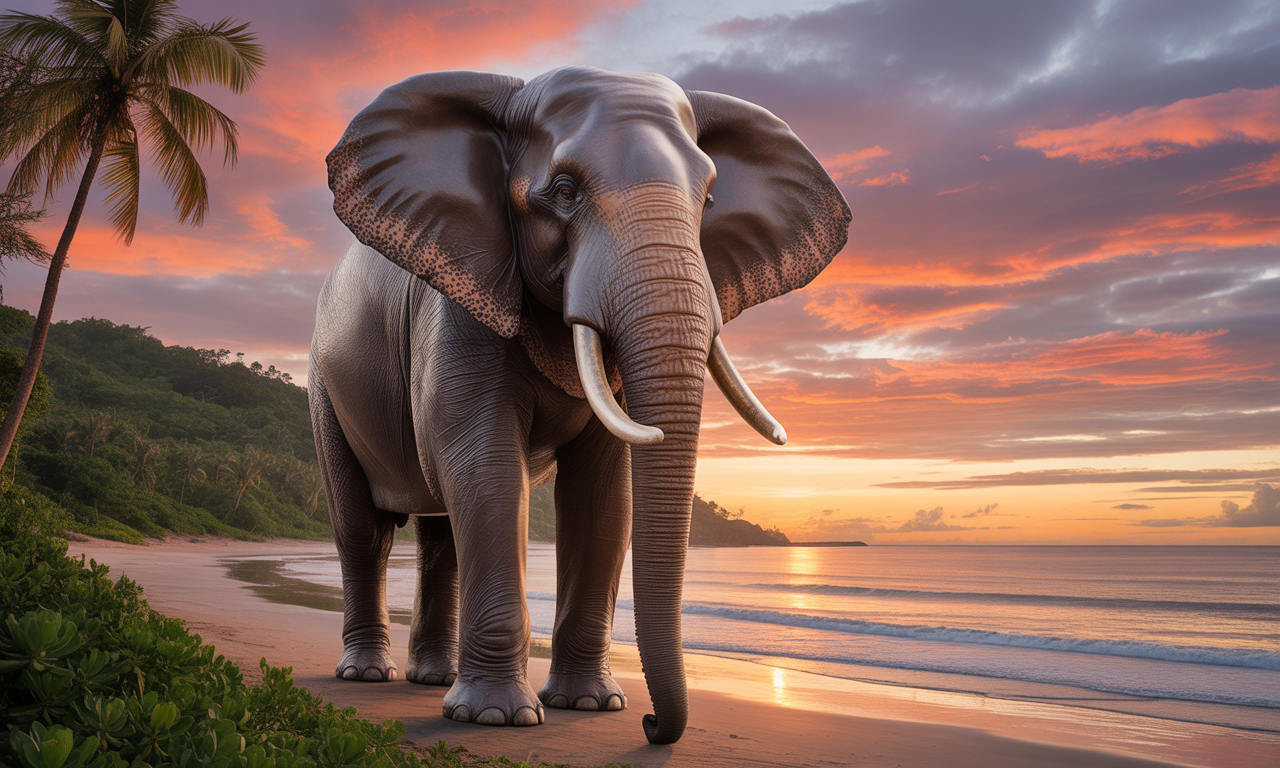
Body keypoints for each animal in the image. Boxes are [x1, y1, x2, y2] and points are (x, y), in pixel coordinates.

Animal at [310, 66, 849, 745]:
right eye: (564, 192)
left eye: (707, 202)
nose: (651, 723)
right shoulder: (460, 299)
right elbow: (484, 466)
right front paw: (498, 717)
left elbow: (601, 493)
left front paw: (589, 706)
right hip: (324, 384)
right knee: (364, 531)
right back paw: (367, 675)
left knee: (440, 535)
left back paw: (432, 681)